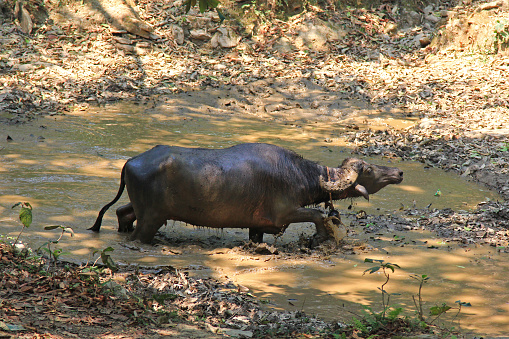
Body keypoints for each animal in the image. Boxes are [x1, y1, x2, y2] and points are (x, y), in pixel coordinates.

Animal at [89, 143, 402, 244]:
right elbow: (317, 214)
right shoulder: (284, 213)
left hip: (142, 209)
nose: (398, 172)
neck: (300, 174)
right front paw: (321, 238)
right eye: (369, 169)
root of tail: (131, 161)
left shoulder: (257, 226)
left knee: (122, 212)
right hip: (151, 219)